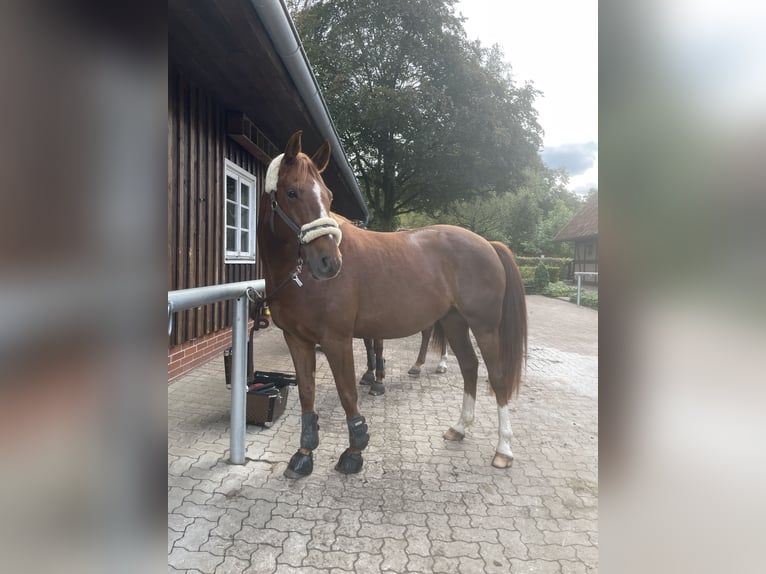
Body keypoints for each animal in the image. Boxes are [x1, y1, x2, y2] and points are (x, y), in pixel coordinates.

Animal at [258, 131, 527, 478]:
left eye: (329, 197)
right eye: (292, 193)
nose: (329, 263)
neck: (298, 276)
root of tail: (488, 244)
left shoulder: (337, 339)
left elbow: (348, 392)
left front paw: (354, 451)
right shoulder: (297, 339)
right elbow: (306, 393)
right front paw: (303, 454)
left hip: (484, 327)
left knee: (497, 376)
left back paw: (503, 449)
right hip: (454, 321)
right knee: (469, 367)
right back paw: (459, 428)